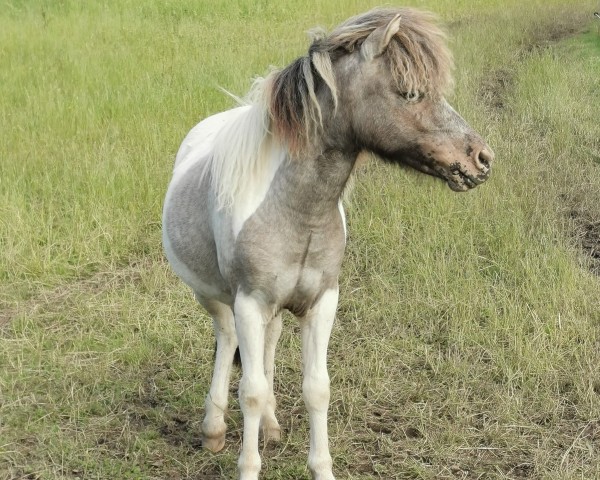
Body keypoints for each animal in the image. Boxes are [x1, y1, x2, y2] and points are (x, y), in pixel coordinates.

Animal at [162, 7, 494, 480]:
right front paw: (248, 462)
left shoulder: (321, 301)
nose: (481, 159)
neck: (296, 209)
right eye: (410, 93)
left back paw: (271, 427)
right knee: (225, 341)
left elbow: (317, 388)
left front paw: (319, 465)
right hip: (215, 298)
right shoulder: (250, 303)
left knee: (268, 342)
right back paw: (213, 429)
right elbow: (251, 391)